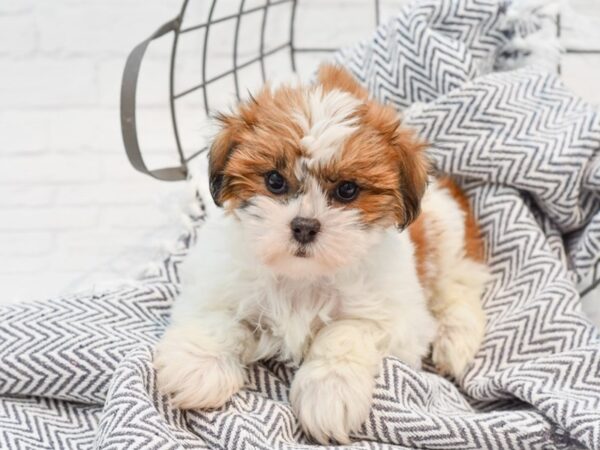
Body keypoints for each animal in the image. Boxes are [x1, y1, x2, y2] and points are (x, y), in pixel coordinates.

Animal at [154, 65, 488, 444]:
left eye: (347, 190)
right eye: (274, 181)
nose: (304, 226)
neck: (303, 276)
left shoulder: (398, 320)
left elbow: (343, 332)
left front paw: (329, 393)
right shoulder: (215, 279)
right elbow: (218, 318)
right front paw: (198, 365)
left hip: (447, 237)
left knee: (457, 287)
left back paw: (456, 339)